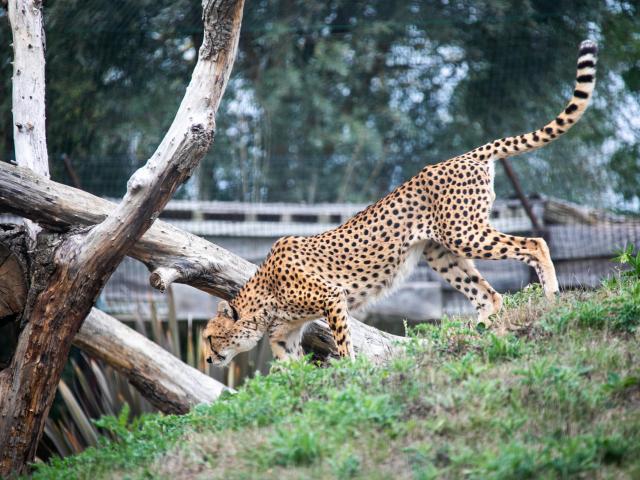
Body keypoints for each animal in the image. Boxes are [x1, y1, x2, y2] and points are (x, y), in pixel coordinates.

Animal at [202, 40, 596, 364]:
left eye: (209, 337)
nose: (207, 358)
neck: (263, 295)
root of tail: (464, 155)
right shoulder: (285, 332)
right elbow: (288, 365)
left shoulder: (332, 297)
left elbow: (343, 343)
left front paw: (350, 373)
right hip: (442, 253)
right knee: (489, 296)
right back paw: (480, 333)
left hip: (464, 232)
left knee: (535, 242)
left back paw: (551, 297)